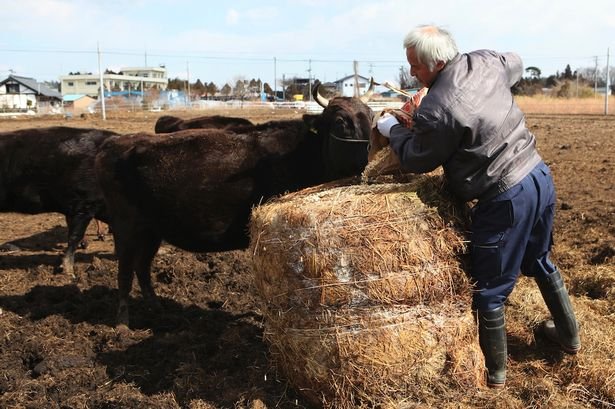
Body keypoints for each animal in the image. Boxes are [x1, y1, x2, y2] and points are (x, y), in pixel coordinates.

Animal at [96, 79, 376, 326]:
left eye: (372, 116)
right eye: (341, 122)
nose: (370, 152)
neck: (303, 153)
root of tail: (113, 143)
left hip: (151, 231)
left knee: (142, 268)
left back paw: (159, 310)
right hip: (126, 227)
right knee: (124, 272)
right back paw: (122, 324)